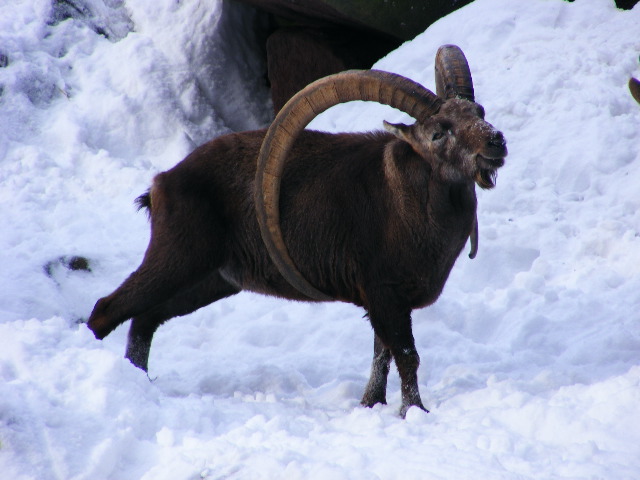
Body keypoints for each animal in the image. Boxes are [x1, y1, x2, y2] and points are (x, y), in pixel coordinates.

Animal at [87, 45, 507, 417]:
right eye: (438, 133)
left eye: (479, 112)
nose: (495, 141)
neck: (412, 203)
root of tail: (162, 183)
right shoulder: (384, 293)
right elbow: (406, 356)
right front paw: (414, 411)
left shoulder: (385, 302)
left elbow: (381, 355)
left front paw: (371, 404)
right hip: (178, 257)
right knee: (107, 310)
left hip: (212, 280)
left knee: (144, 319)